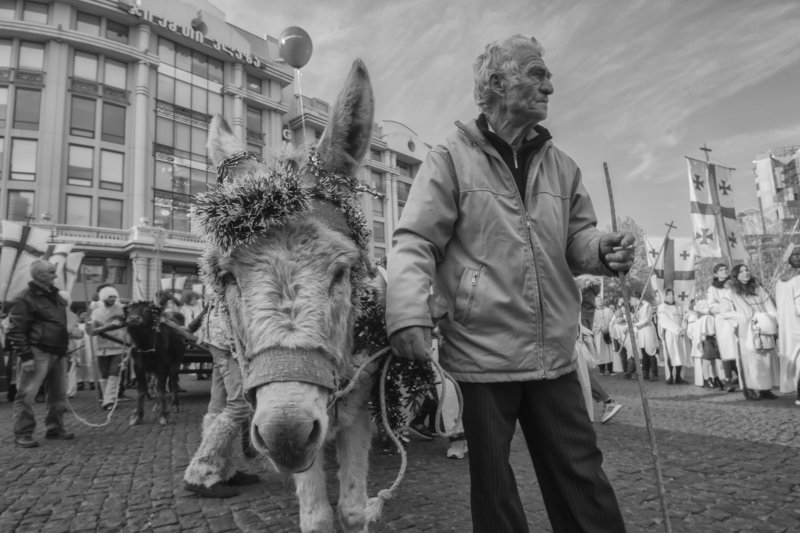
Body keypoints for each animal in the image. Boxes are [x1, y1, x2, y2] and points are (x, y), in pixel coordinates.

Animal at [195, 59, 378, 532]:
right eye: (227, 277)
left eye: (343, 270)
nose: (287, 435)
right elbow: (317, 520)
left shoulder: (360, 401)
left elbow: (352, 509)